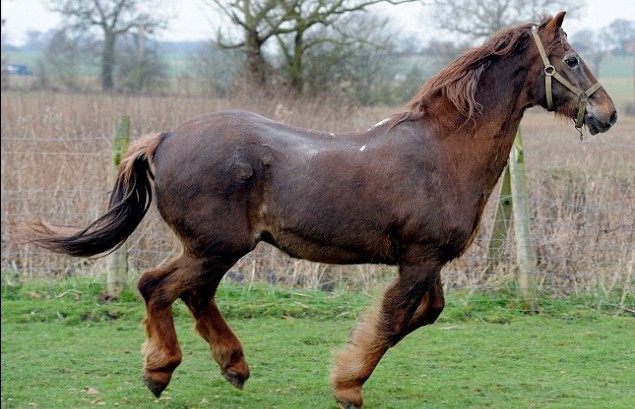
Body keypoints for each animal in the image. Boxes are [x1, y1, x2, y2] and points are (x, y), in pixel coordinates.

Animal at [24, 11, 616, 406]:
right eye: (571, 59)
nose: (607, 113)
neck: (442, 152)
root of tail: (165, 138)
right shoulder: (421, 259)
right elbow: (395, 319)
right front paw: (348, 385)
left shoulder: (425, 261)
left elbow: (424, 314)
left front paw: (346, 373)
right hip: (216, 245)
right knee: (157, 286)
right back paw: (160, 371)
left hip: (214, 248)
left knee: (192, 294)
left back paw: (233, 367)